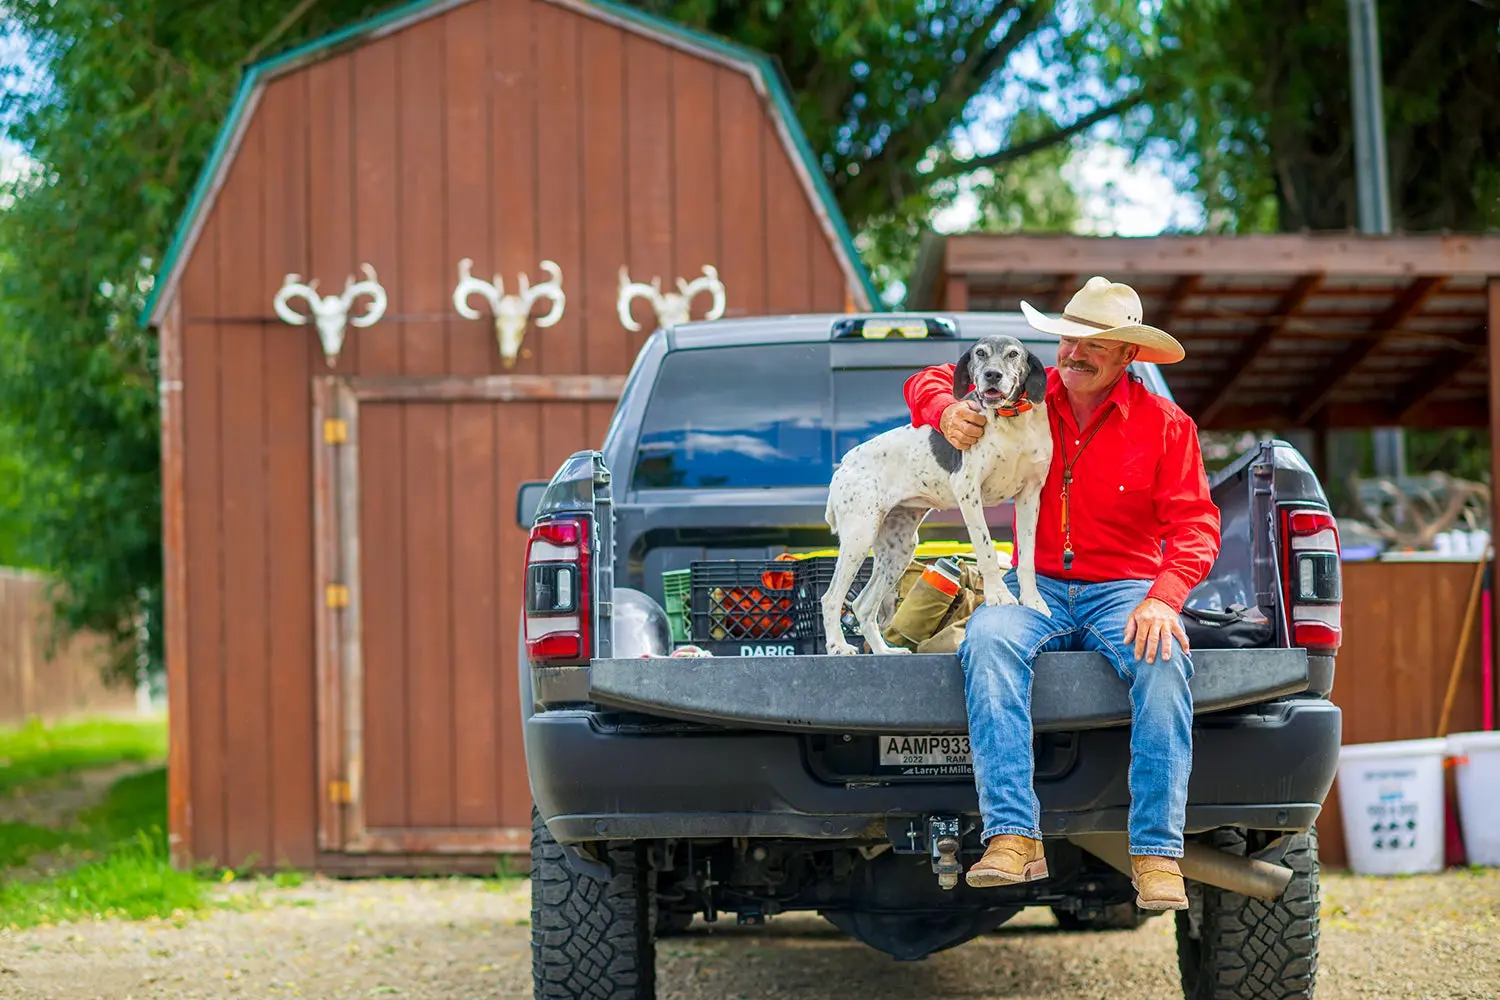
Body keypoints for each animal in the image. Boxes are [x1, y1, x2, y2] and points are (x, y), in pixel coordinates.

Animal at [822, 332, 1056, 653]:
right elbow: (986, 551)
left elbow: (1028, 559)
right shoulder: (969, 492)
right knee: (832, 598)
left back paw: (884, 650)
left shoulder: (1029, 496)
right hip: (859, 536)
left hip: (899, 548)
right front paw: (999, 596)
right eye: (980, 353)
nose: (991, 375)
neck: (1010, 421)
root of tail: (844, 464)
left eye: (1013, 354)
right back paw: (838, 646)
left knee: (862, 605)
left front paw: (1033, 601)